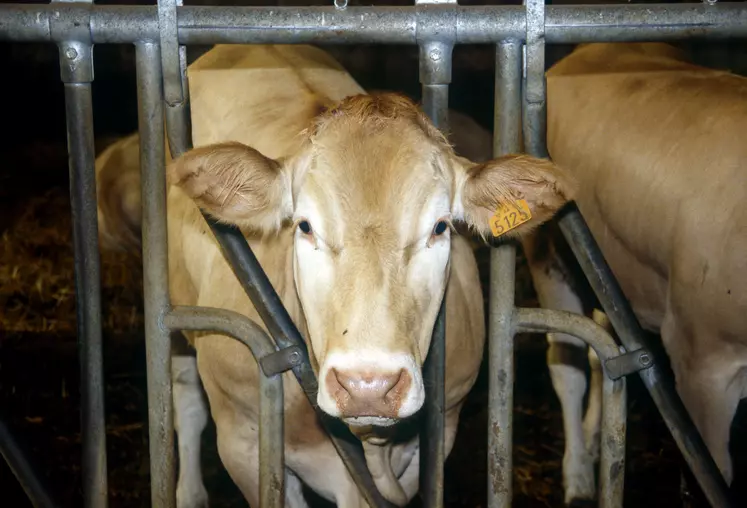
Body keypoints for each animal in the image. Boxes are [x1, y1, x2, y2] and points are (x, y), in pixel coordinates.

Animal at [95, 43, 572, 508]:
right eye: (305, 226)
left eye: (440, 227)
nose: (368, 386)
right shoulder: (242, 441)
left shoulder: (441, 431)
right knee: (186, 400)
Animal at [524, 42, 747, 504]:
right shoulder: (702, 356)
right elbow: (709, 475)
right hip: (547, 255)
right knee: (567, 364)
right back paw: (577, 478)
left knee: (600, 354)